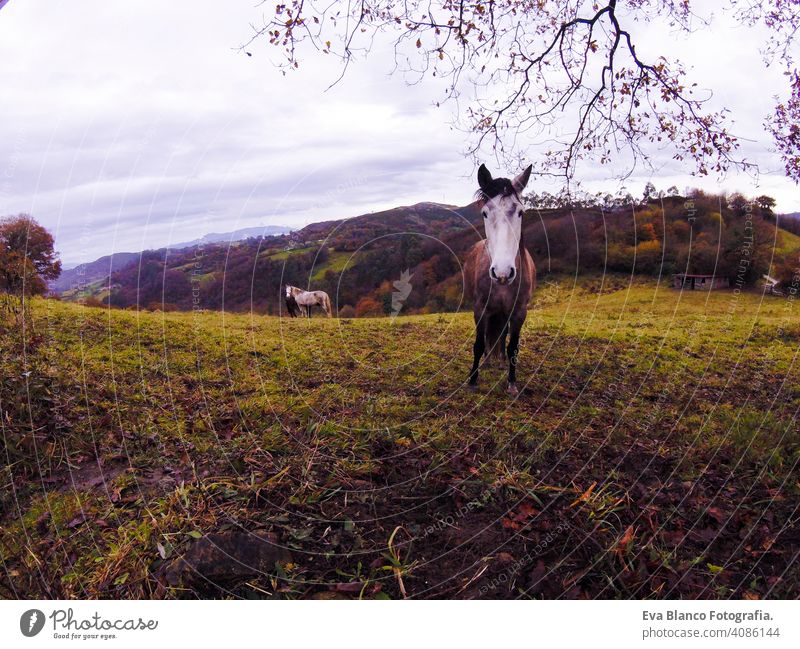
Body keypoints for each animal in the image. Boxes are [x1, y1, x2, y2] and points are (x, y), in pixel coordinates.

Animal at [466, 163, 536, 394]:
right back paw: (488, 361)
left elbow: (513, 347)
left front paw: (512, 383)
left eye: (521, 212)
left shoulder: (519, 312)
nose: (503, 272)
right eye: (485, 213)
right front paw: (472, 380)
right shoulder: (480, 308)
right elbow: (479, 344)